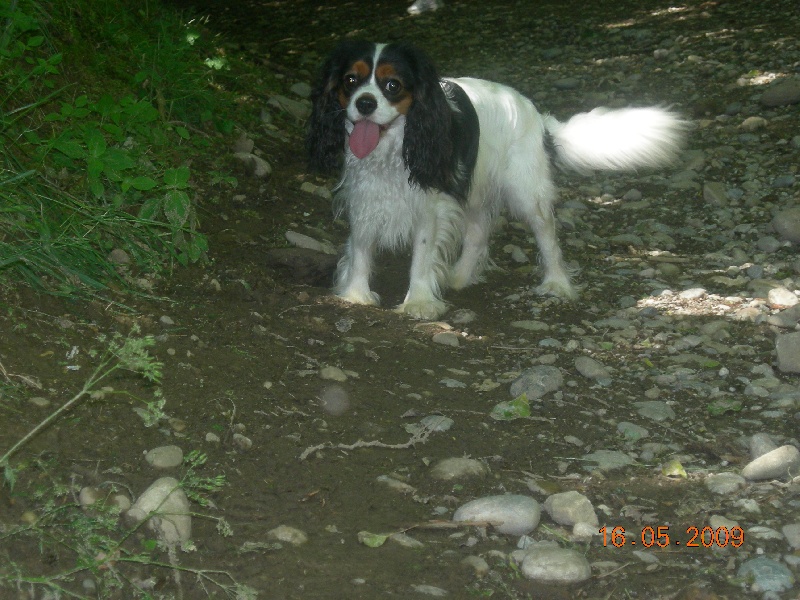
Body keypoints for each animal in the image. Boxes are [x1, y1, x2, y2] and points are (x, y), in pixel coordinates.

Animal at [306, 41, 688, 318]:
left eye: (392, 85)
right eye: (350, 81)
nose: (365, 103)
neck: (393, 145)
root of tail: (537, 114)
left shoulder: (430, 204)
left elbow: (422, 254)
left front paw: (419, 302)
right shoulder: (364, 197)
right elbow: (361, 246)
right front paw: (355, 295)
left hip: (525, 192)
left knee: (547, 236)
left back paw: (557, 284)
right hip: (475, 188)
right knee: (477, 234)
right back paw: (459, 277)